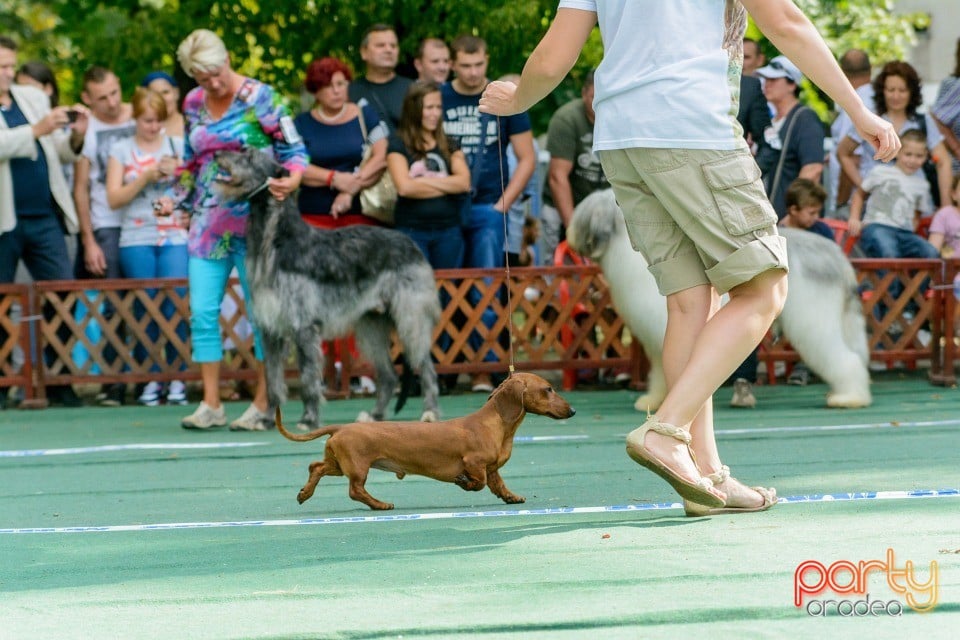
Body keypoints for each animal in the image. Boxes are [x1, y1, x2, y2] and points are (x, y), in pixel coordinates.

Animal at [212, 150, 440, 430]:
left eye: (249, 155)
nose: (217, 154)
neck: (278, 239)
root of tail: (411, 243)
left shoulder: (304, 327)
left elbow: (308, 379)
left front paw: (309, 420)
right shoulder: (270, 329)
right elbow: (273, 380)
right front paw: (266, 420)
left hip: (410, 318)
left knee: (426, 366)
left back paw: (429, 412)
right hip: (370, 325)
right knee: (388, 375)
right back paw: (375, 416)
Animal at [568, 190, 872, 410]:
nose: (570, 236)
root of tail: (837, 257)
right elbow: (661, 374)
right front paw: (654, 400)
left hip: (813, 322)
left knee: (843, 358)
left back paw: (849, 398)